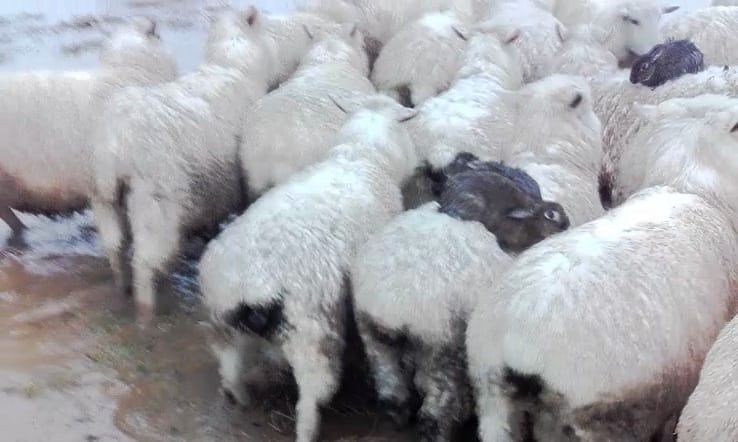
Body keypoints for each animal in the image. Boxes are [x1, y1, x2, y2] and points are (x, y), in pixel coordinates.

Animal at [91, 7, 272, 317]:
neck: (233, 63)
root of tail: (118, 143)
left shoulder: (214, 185)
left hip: (107, 202)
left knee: (115, 249)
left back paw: (121, 289)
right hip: (156, 206)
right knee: (145, 264)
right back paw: (147, 308)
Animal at [199, 95, 419, 442]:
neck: (361, 157)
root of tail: (252, 284)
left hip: (224, 320)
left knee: (230, 366)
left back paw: (240, 399)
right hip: (312, 334)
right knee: (310, 397)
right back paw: (308, 429)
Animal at [352, 165, 569, 442]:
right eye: (550, 215)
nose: (566, 224)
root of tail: (392, 301)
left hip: (374, 338)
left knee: (391, 388)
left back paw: (396, 416)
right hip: (442, 347)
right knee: (435, 411)